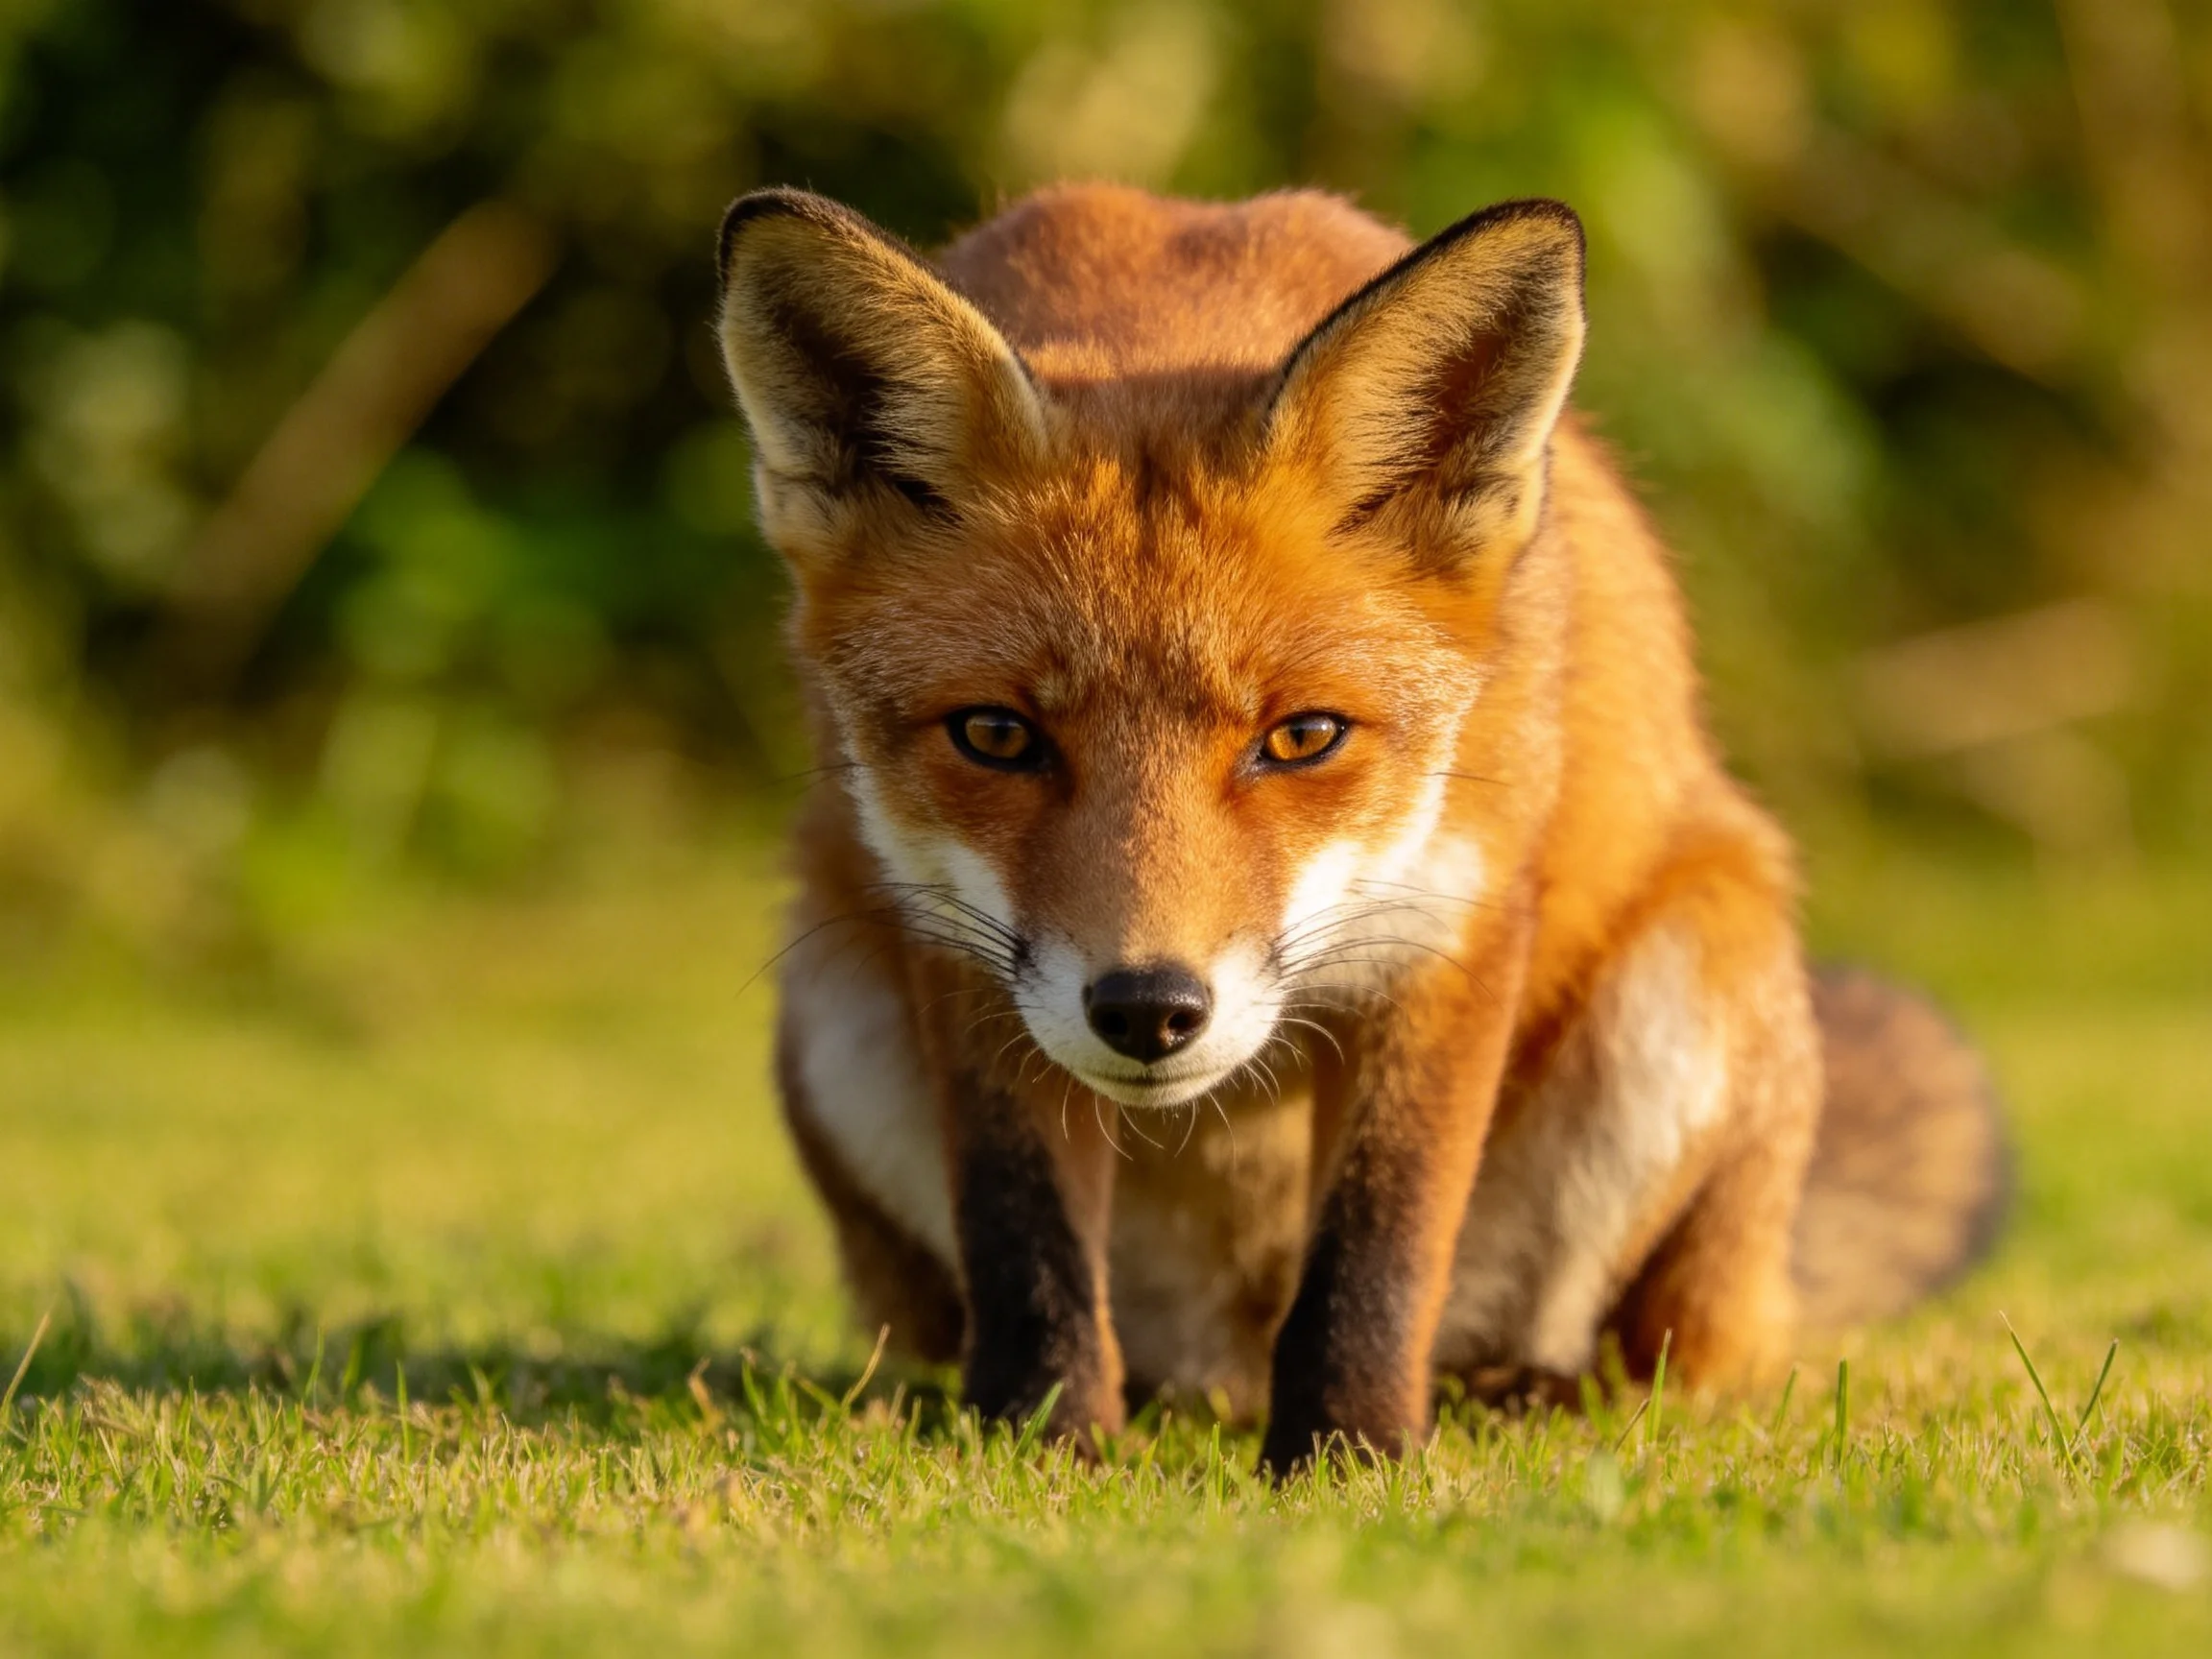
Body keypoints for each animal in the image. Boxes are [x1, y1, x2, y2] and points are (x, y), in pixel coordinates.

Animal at [713, 182, 2009, 1473]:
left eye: (1301, 738)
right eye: (995, 735)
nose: (1148, 1009)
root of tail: (1226, 1366)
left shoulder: (1450, 926)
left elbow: (1378, 1245)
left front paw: (1351, 1453)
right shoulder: (961, 945)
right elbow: (1022, 1236)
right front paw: (1046, 1444)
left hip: (1693, 986)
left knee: (1667, 1363)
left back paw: (1526, 1395)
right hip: (832, 1013)